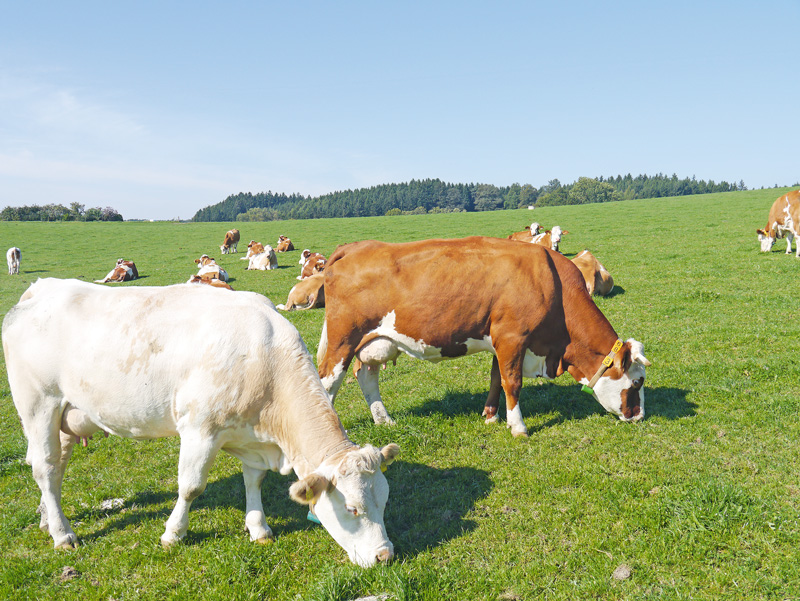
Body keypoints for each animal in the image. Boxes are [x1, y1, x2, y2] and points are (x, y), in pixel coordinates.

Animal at [0, 278, 400, 564]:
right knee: (45, 467)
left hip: (66, 414)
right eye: (352, 508)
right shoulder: (199, 430)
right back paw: (62, 534)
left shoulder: (252, 437)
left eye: (384, 500)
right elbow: (191, 487)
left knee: (56, 467)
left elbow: (253, 480)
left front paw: (259, 527)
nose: (385, 555)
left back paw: (46, 517)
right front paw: (173, 534)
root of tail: (43, 287)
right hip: (38, 405)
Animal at [314, 237, 648, 438]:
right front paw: (519, 427)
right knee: (328, 382)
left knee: (366, 376)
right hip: (343, 340)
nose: (640, 416)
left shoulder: (502, 340)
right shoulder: (513, 337)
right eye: (636, 383)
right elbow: (513, 382)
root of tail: (354, 246)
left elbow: (495, 378)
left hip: (373, 342)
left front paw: (491, 416)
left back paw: (384, 420)